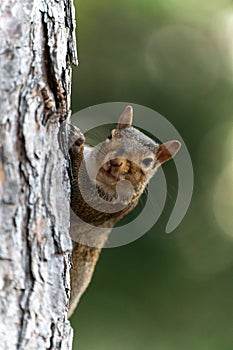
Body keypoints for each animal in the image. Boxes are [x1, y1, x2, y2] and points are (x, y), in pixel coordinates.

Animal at [66, 106, 181, 318]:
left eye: (147, 161)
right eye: (110, 135)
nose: (116, 162)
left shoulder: (100, 205)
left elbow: (78, 198)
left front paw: (77, 145)